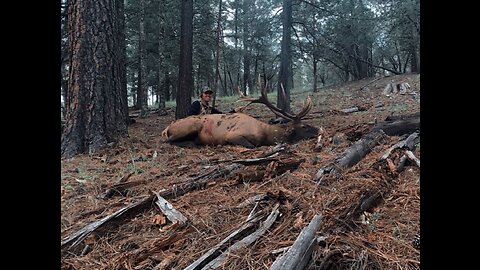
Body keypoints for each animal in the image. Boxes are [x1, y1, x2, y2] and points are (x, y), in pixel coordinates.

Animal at [162, 86, 318, 148]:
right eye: (304, 126)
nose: (319, 129)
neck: (265, 133)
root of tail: (167, 128)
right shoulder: (232, 135)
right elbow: (252, 146)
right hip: (190, 126)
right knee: (169, 140)